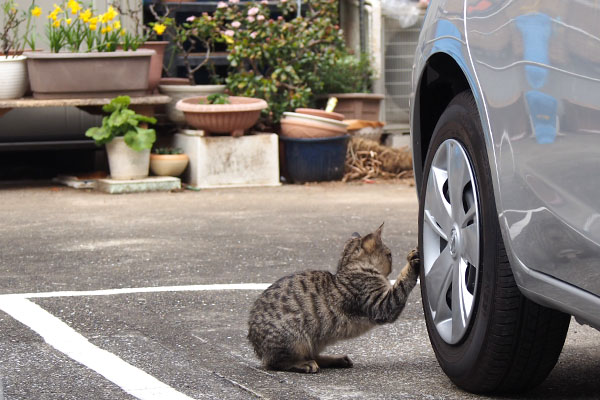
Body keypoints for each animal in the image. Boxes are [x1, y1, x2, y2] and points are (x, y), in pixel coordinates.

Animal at [246, 223, 420, 374]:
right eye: (389, 255)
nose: (391, 267)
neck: (353, 268)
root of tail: (257, 346)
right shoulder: (381, 304)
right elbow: (402, 284)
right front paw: (412, 261)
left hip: (315, 341)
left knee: (313, 356)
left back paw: (336, 360)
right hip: (294, 339)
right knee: (276, 363)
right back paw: (304, 364)